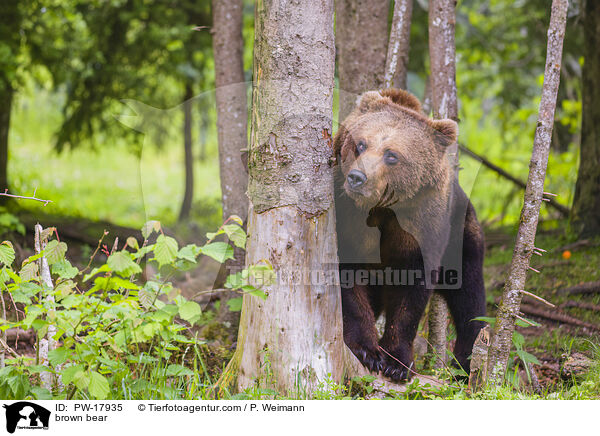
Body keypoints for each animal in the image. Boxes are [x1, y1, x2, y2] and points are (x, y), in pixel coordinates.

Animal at [336, 88, 486, 382]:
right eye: (361, 144)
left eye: (391, 155)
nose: (357, 177)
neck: (382, 209)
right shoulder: (348, 221)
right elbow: (349, 284)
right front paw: (367, 350)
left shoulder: (421, 225)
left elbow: (411, 293)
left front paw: (397, 362)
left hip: (462, 237)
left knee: (470, 300)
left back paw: (464, 363)